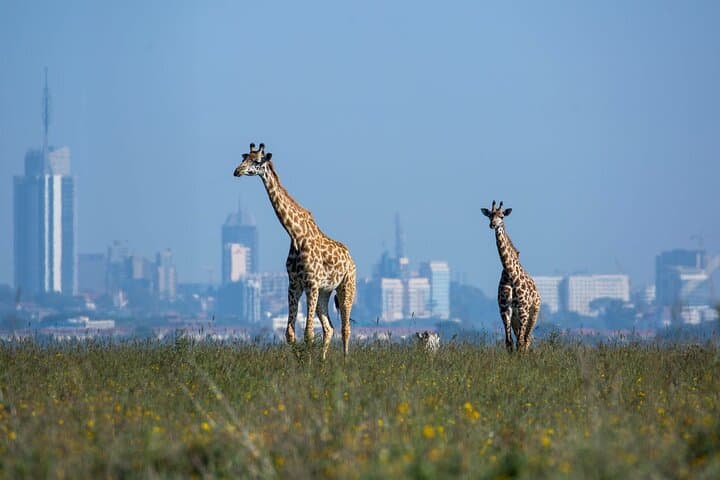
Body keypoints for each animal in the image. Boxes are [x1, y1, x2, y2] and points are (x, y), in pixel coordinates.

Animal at [233, 143, 357, 360]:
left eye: (256, 161)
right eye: (244, 157)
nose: (237, 171)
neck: (296, 235)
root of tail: (351, 258)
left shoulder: (311, 284)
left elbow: (308, 333)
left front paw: (308, 364)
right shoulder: (294, 285)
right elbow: (290, 334)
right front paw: (300, 364)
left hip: (346, 286)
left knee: (345, 328)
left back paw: (345, 361)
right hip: (325, 292)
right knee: (329, 328)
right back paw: (323, 361)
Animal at [481, 201, 541, 352]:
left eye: (502, 216)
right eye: (490, 215)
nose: (493, 224)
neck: (510, 274)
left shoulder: (523, 310)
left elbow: (520, 342)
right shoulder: (504, 310)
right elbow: (509, 342)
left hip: (533, 314)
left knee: (527, 339)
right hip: (516, 319)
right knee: (522, 338)